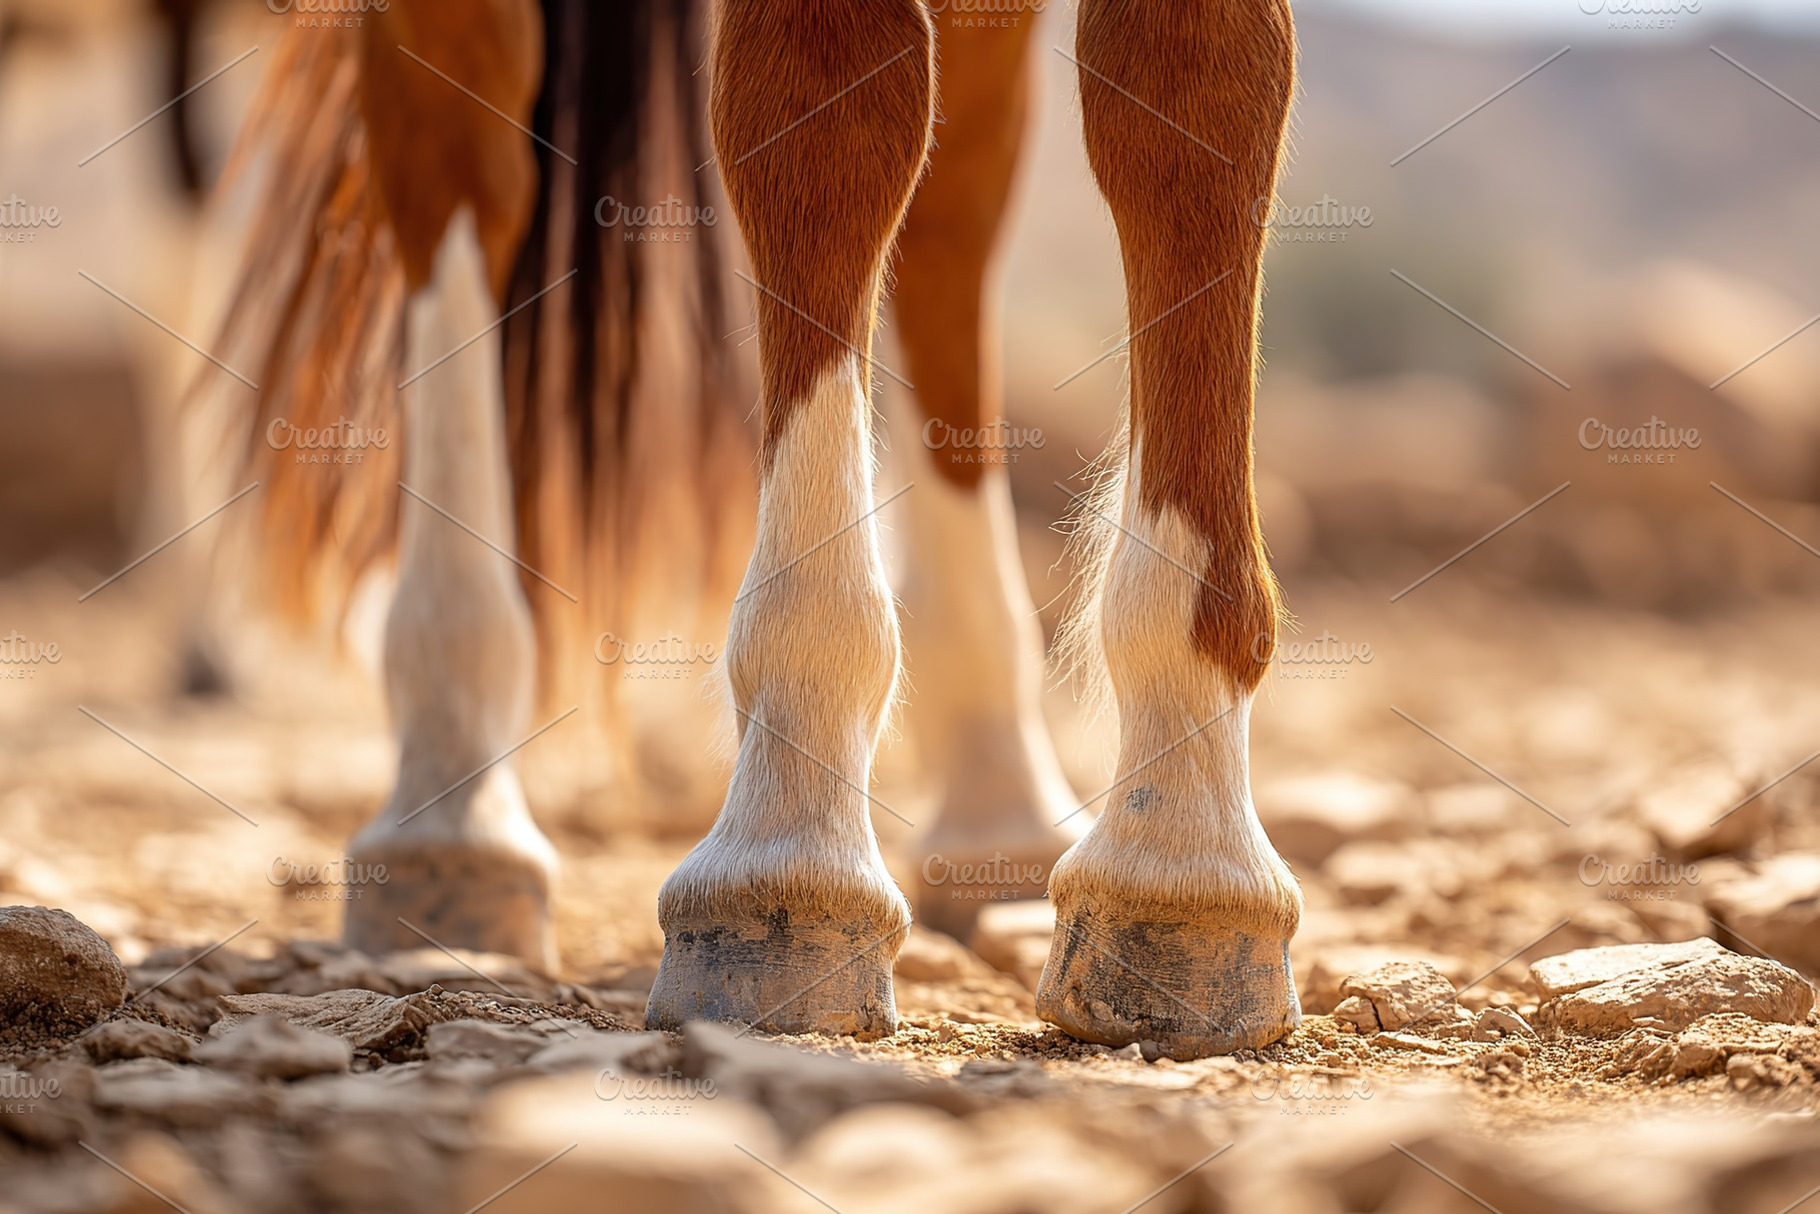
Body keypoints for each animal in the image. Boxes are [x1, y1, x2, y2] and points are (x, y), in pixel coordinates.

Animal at [206, 0, 1300, 1058]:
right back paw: (448, 804)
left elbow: (1193, 104)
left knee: (962, 193)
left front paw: (1183, 861)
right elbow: (829, 114)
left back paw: (1000, 797)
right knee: (459, 140)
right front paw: (791, 850)